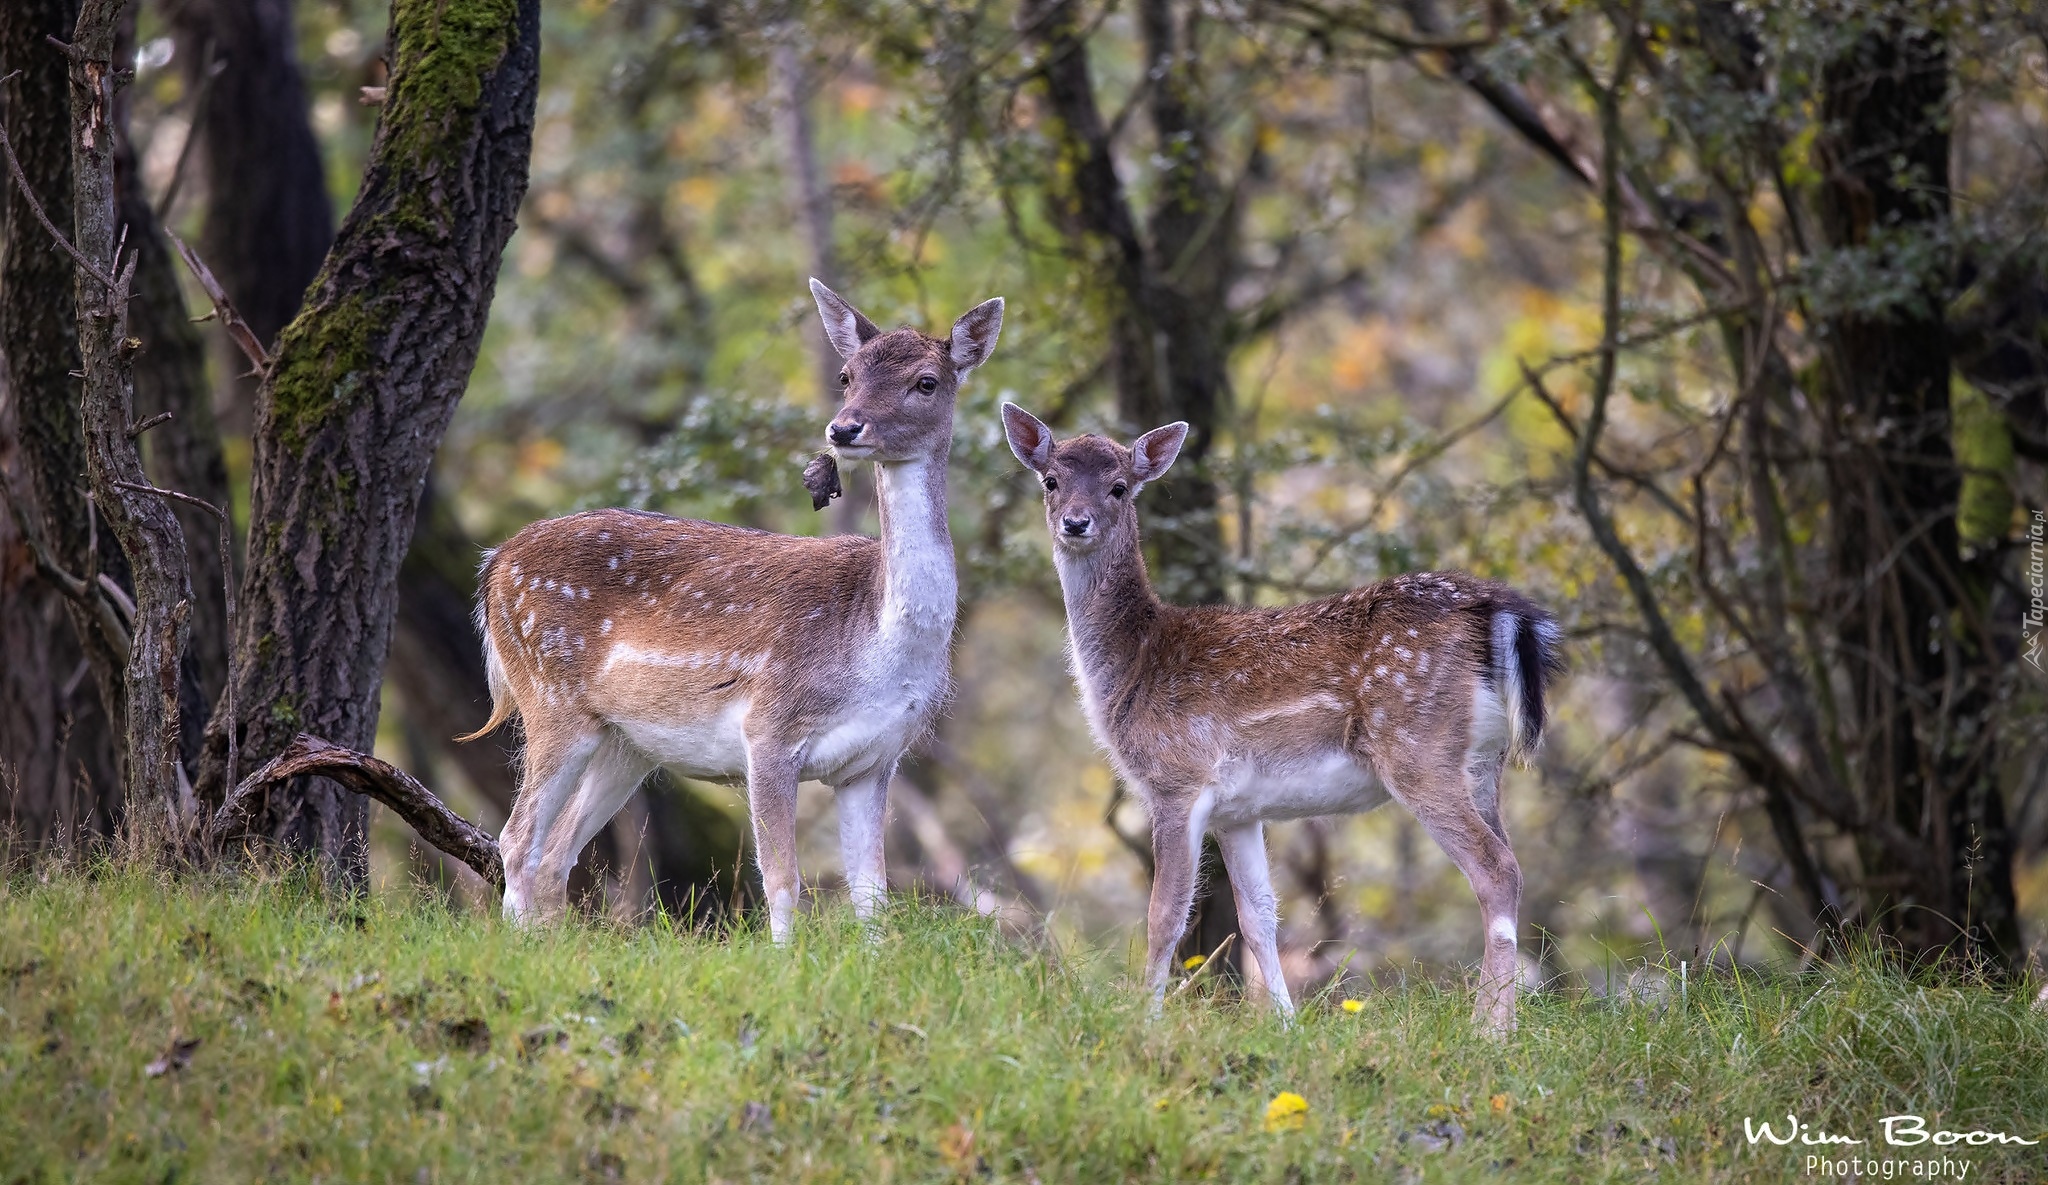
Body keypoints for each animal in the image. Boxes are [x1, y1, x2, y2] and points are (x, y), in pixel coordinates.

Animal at [466, 282, 1007, 941]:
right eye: (847, 375)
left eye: (927, 381)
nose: (844, 428)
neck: (877, 648)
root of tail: (494, 564)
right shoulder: (770, 728)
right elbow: (783, 881)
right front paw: (784, 960)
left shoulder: (876, 760)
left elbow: (873, 897)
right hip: (551, 697)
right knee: (517, 840)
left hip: (626, 742)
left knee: (555, 851)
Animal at [999, 403, 1556, 1035]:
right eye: (1050, 481)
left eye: (1119, 487)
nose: (1075, 523)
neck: (1133, 665)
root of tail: (1499, 612)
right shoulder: (1239, 810)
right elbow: (1259, 916)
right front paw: (1287, 1026)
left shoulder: (1176, 780)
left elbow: (1165, 915)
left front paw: (1145, 1021)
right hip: (1485, 762)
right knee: (1509, 861)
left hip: (1418, 748)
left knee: (1495, 868)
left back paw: (1491, 1029)